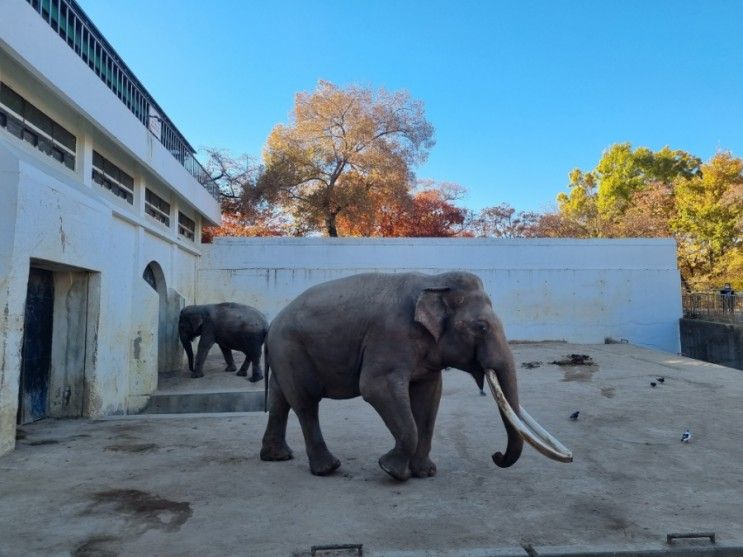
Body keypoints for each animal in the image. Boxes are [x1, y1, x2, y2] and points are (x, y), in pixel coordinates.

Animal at [262, 270, 576, 478]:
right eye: (481, 328)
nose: (496, 455)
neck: (435, 282)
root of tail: (272, 322)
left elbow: (429, 396)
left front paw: (424, 473)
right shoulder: (390, 336)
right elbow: (375, 387)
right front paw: (391, 470)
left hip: (283, 354)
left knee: (280, 400)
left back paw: (277, 457)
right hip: (291, 349)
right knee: (305, 402)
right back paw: (328, 468)